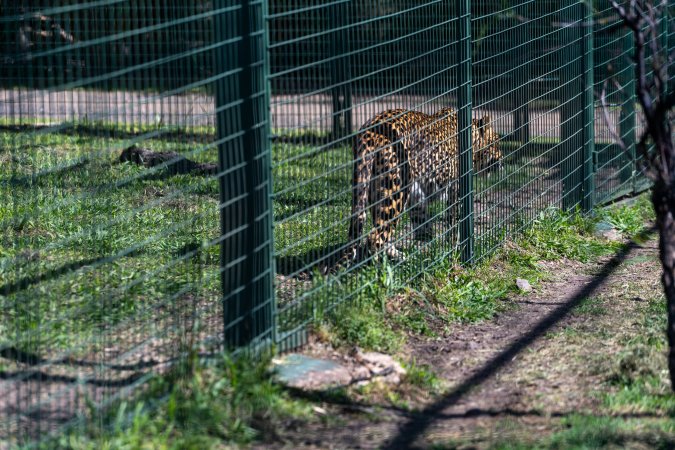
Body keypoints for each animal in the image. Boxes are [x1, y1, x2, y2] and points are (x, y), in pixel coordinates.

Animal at [348, 106, 502, 261]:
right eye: (496, 143)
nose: (502, 160)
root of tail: (369, 132)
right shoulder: (455, 188)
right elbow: (454, 220)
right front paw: (454, 248)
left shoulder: (417, 194)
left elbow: (421, 221)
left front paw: (429, 246)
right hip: (396, 192)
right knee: (374, 238)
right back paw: (379, 265)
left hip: (374, 191)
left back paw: (399, 257)